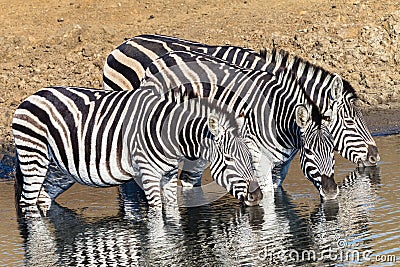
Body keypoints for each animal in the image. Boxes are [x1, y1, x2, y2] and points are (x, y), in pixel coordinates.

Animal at [11, 86, 262, 218]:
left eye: (249, 157)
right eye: (229, 159)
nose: (257, 196)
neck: (169, 134)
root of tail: (31, 96)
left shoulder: (169, 175)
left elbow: (172, 210)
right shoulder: (148, 174)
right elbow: (156, 214)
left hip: (60, 169)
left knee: (43, 197)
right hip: (34, 157)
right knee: (27, 203)